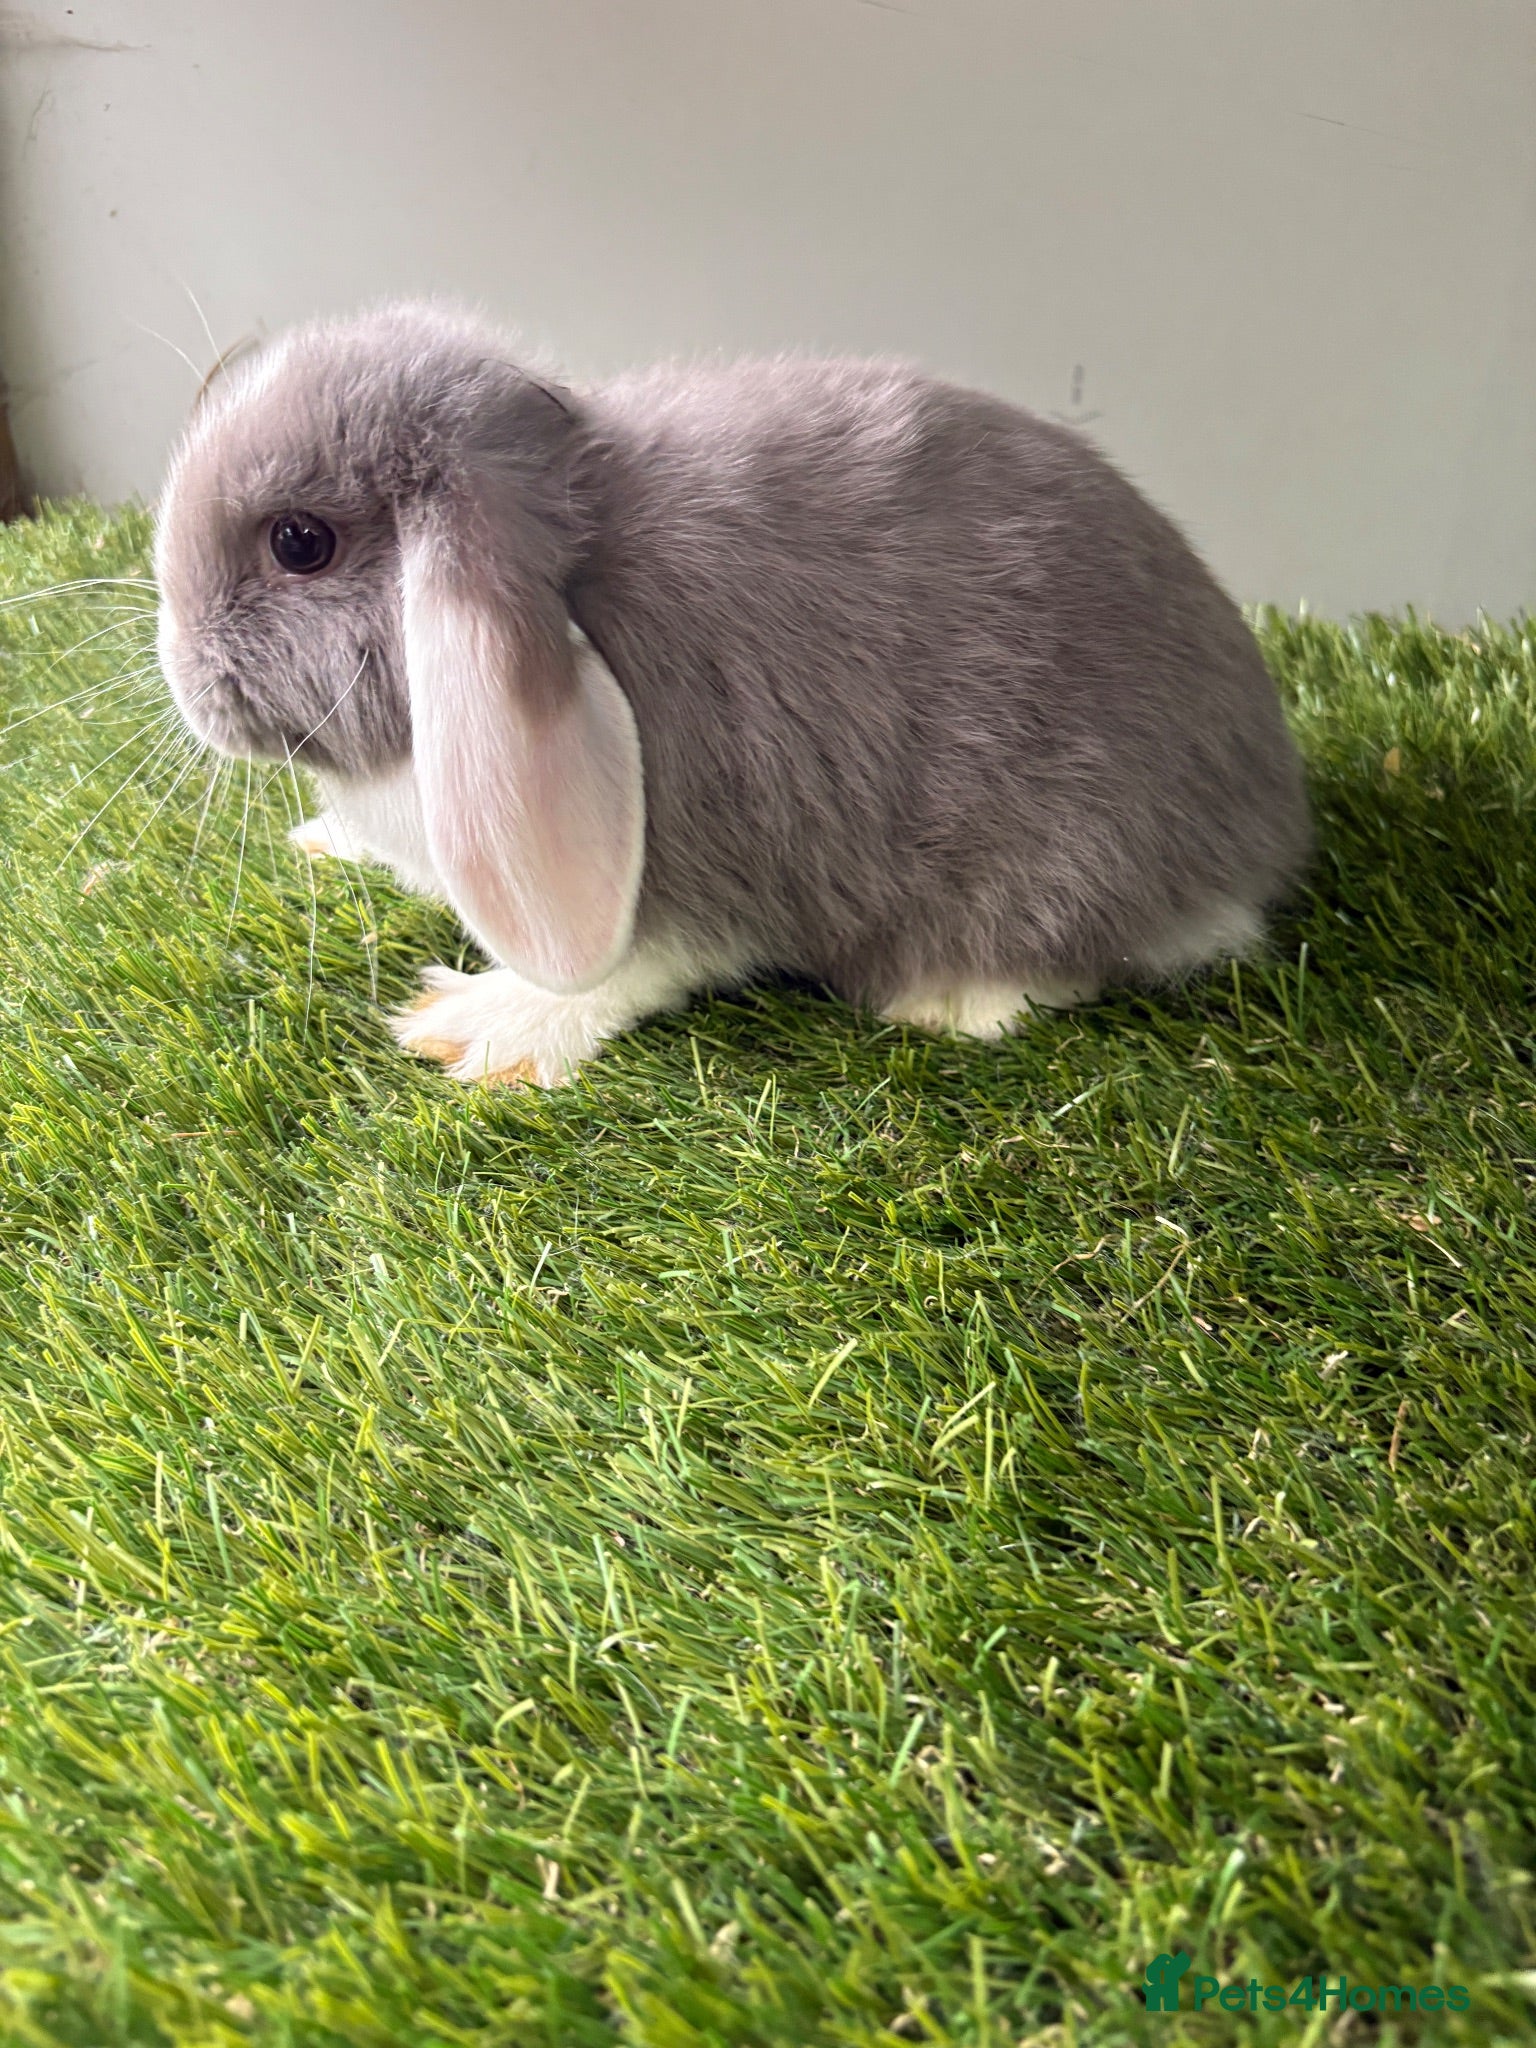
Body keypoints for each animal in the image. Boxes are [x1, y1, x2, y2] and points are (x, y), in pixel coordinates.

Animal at [154, 299, 1310, 1087]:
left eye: (300, 542)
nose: (181, 671)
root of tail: (1266, 823)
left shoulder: (709, 859)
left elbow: (626, 971)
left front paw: (477, 1028)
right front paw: (325, 843)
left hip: (1060, 859)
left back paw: (946, 1001)